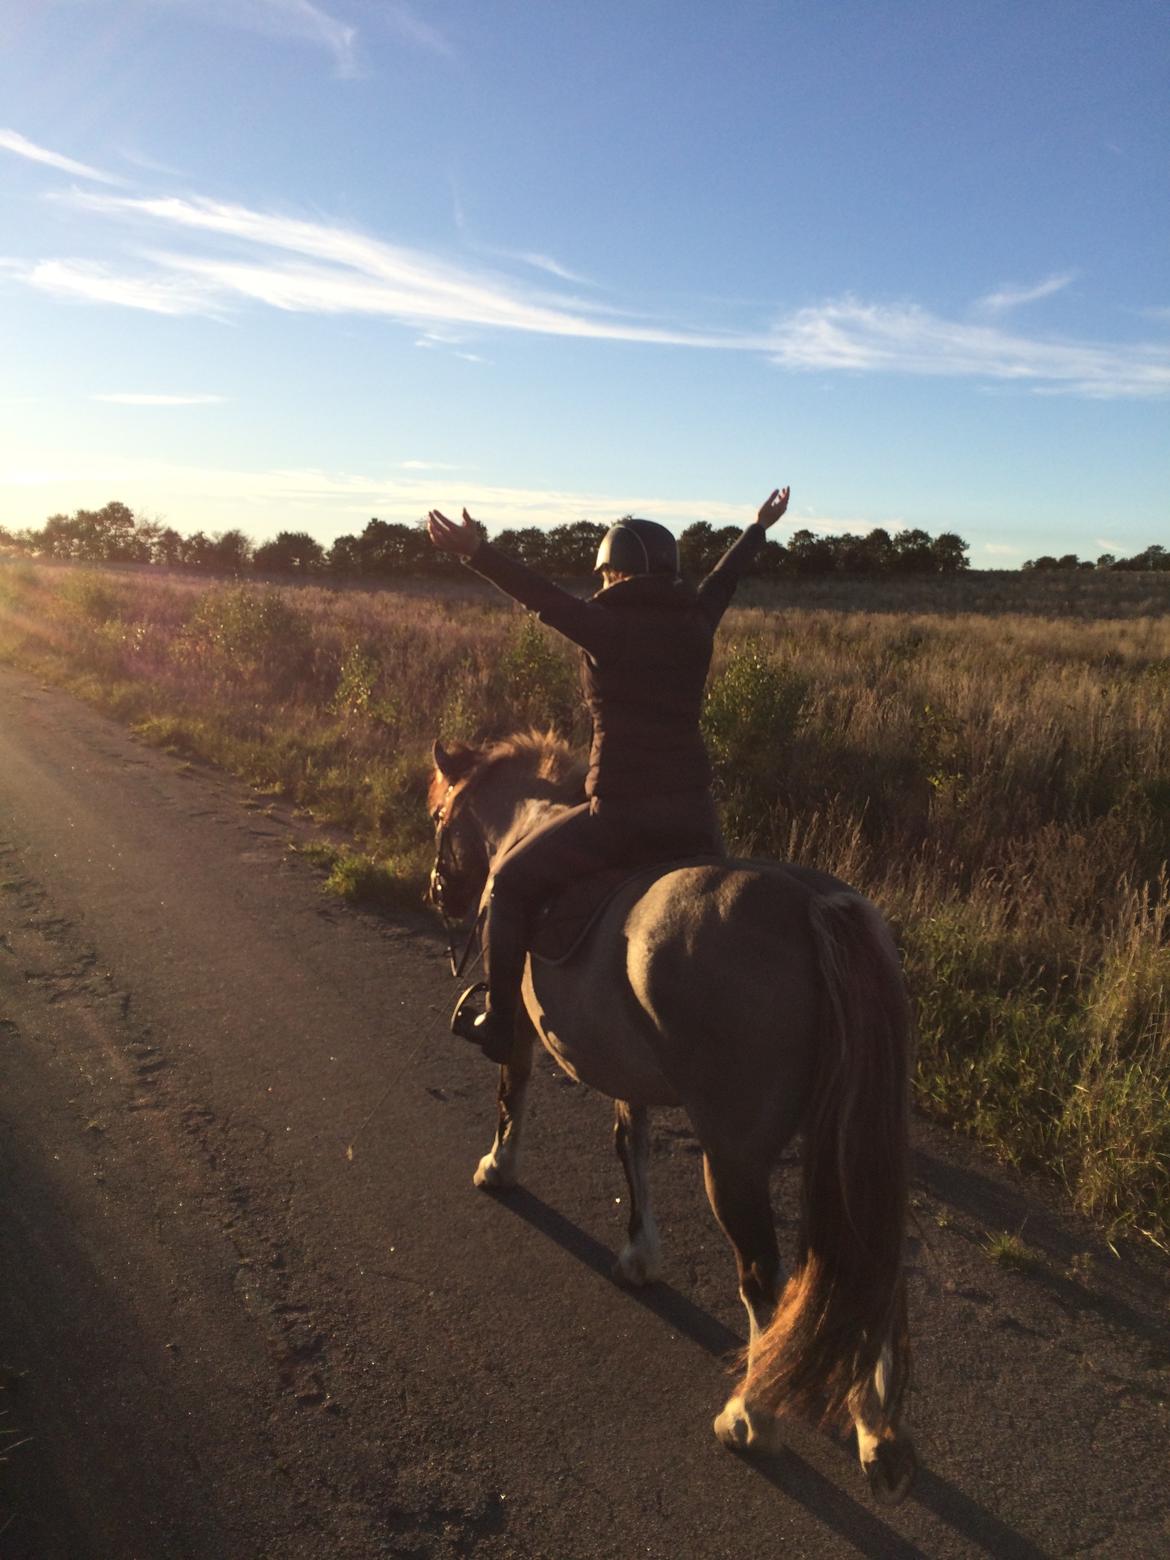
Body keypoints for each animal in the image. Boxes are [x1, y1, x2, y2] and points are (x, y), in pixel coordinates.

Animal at [427, 726, 917, 1497]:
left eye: (437, 817)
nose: (437, 892)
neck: (523, 826)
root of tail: (816, 907)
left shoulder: (525, 1027)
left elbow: (513, 1089)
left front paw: (497, 1168)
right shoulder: (630, 1066)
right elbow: (632, 1145)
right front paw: (639, 1255)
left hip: (735, 1158)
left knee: (762, 1277)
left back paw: (751, 1419)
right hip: (852, 1143)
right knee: (872, 1266)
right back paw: (879, 1437)